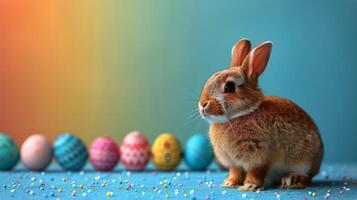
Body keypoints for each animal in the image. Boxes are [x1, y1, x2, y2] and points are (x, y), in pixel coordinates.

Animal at [199, 38, 324, 191]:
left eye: (229, 87)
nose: (202, 104)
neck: (242, 114)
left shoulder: (261, 156)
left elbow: (256, 172)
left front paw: (250, 186)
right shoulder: (234, 162)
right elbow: (235, 172)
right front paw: (229, 183)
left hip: (305, 160)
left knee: (306, 178)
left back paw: (291, 180)